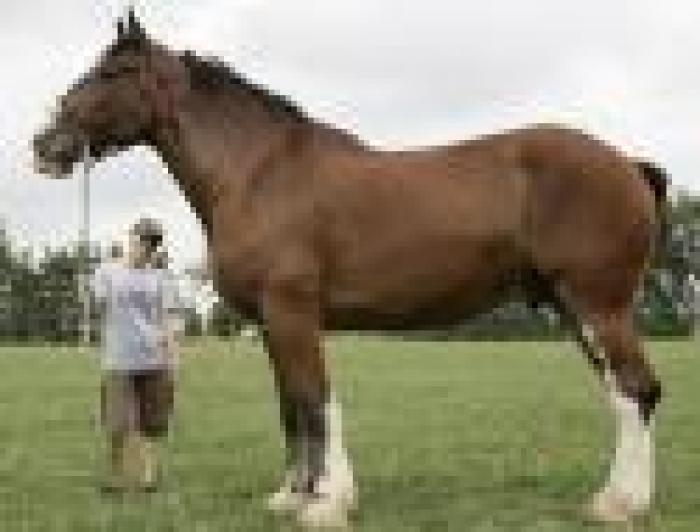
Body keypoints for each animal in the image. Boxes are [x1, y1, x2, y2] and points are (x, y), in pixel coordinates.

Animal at [33, 11, 665, 527]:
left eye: (114, 70)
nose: (45, 144)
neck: (257, 173)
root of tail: (627, 163)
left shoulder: (292, 312)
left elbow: (317, 399)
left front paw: (329, 501)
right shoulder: (270, 324)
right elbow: (291, 408)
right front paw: (293, 495)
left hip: (598, 305)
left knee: (635, 389)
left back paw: (619, 504)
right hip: (574, 308)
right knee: (625, 392)